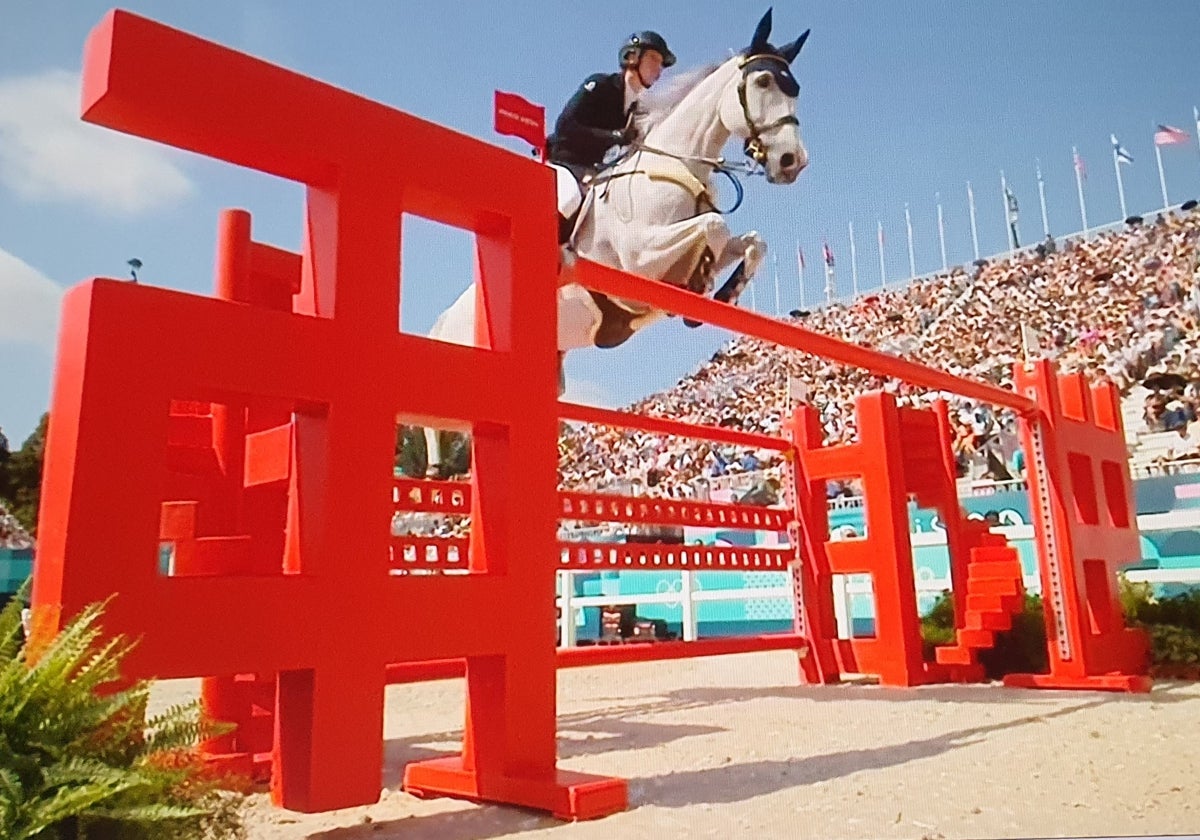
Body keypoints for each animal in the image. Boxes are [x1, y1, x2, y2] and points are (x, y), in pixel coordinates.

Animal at [422, 9, 806, 475]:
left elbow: (750, 241)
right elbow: (714, 226)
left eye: (794, 88)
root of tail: (442, 320)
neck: (677, 165)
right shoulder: (641, 259)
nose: (793, 162)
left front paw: (723, 293)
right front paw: (701, 287)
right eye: (763, 82)